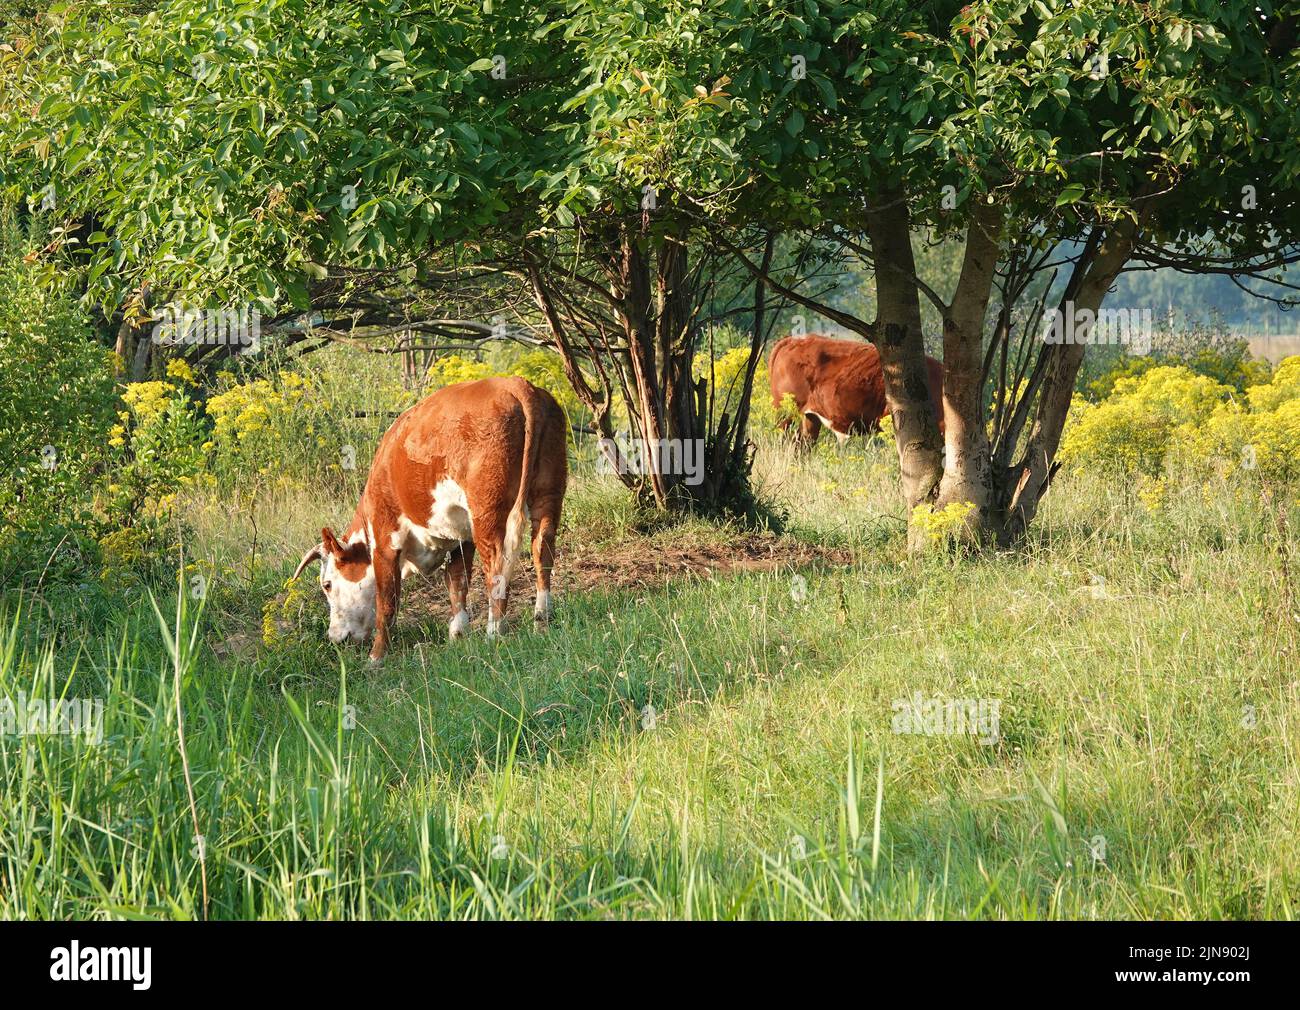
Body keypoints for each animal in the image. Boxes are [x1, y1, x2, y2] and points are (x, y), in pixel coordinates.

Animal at [296, 374, 569, 657]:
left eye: (327, 584)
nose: (334, 638)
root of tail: (516, 383)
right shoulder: (461, 536)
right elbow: (457, 582)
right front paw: (458, 633)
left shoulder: (385, 539)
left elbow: (386, 601)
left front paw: (377, 656)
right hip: (548, 490)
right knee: (543, 549)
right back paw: (542, 619)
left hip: (487, 511)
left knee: (497, 565)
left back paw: (494, 632)